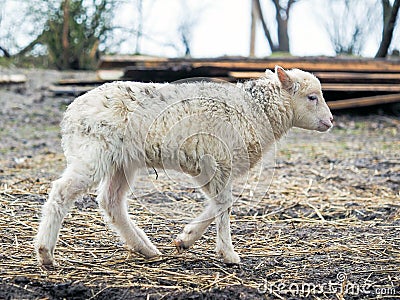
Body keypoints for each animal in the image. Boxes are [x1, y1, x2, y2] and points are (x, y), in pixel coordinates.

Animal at [36, 65, 332, 264]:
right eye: (312, 97)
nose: (330, 121)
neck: (257, 110)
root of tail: (71, 112)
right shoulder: (217, 161)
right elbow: (224, 204)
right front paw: (227, 253)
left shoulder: (210, 166)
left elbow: (219, 203)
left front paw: (186, 239)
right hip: (93, 153)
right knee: (61, 191)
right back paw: (45, 253)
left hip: (122, 161)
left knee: (111, 202)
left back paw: (145, 248)